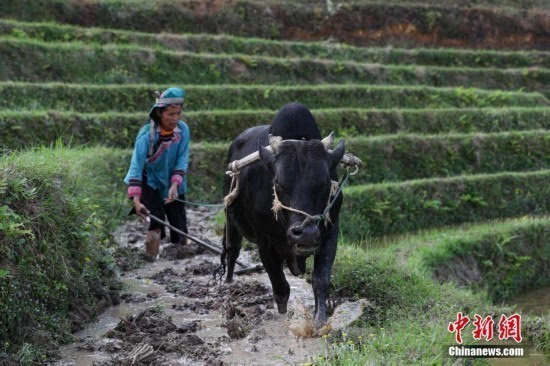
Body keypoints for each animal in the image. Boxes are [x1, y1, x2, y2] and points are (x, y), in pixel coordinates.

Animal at [220, 102, 344, 326]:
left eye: (324, 183)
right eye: (278, 183)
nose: (305, 233)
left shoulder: (331, 231)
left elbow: (320, 280)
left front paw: (320, 318)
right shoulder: (264, 242)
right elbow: (280, 287)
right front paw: (282, 316)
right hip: (231, 220)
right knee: (232, 250)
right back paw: (228, 283)